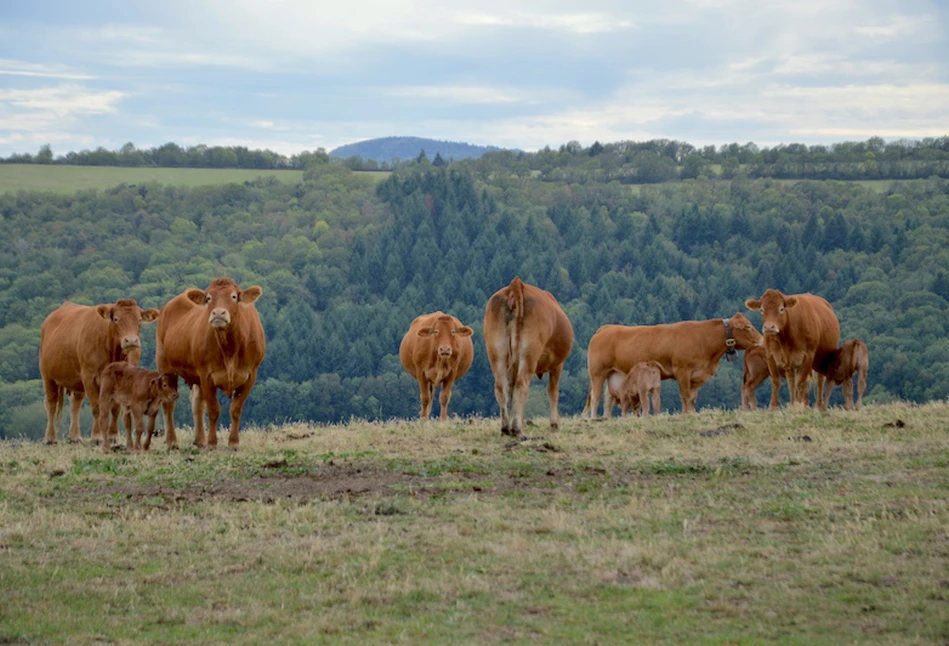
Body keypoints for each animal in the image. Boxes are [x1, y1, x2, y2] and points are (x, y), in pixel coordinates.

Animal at [38, 300, 158, 446]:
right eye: (116, 319)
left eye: (139, 320)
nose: (131, 340)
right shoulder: (89, 377)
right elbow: (97, 407)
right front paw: (97, 436)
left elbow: (115, 408)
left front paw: (113, 436)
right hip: (47, 376)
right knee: (51, 404)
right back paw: (50, 437)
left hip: (77, 380)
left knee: (75, 403)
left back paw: (75, 436)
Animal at [156, 278, 264, 450]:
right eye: (208, 298)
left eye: (234, 296)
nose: (218, 313)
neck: (229, 350)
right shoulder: (206, 375)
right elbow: (213, 410)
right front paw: (212, 443)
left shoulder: (250, 375)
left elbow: (236, 409)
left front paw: (233, 442)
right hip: (164, 363)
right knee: (169, 404)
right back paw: (172, 441)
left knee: (197, 404)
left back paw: (200, 440)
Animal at [486, 276, 572, 438]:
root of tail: (516, 285)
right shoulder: (558, 365)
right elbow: (553, 391)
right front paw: (554, 424)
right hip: (529, 353)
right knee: (522, 384)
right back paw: (517, 428)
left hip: (497, 352)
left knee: (501, 386)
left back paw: (506, 428)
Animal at [584, 314, 764, 420]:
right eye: (748, 326)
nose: (762, 340)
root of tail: (606, 327)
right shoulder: (682, 371)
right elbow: (685, 395)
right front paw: (686, 414)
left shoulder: (696, 376)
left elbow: (692, 398)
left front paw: (691, 413)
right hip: (597, 373)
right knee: (596, 396)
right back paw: (594, 419)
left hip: (614, 374)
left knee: (608, 396)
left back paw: (607, 418)